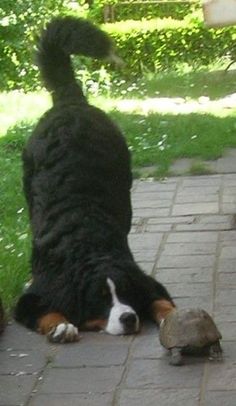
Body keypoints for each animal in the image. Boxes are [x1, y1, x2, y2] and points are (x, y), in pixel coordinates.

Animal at [13, 16, 174, 342]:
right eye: (99, 298)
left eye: (125, 292)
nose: (128, 317)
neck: (87, 243)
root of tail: (69, 101)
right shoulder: (34, 295)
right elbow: (46, 309)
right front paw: (61, 325)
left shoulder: (144, 280)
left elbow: (159, 299)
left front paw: (172, 318)